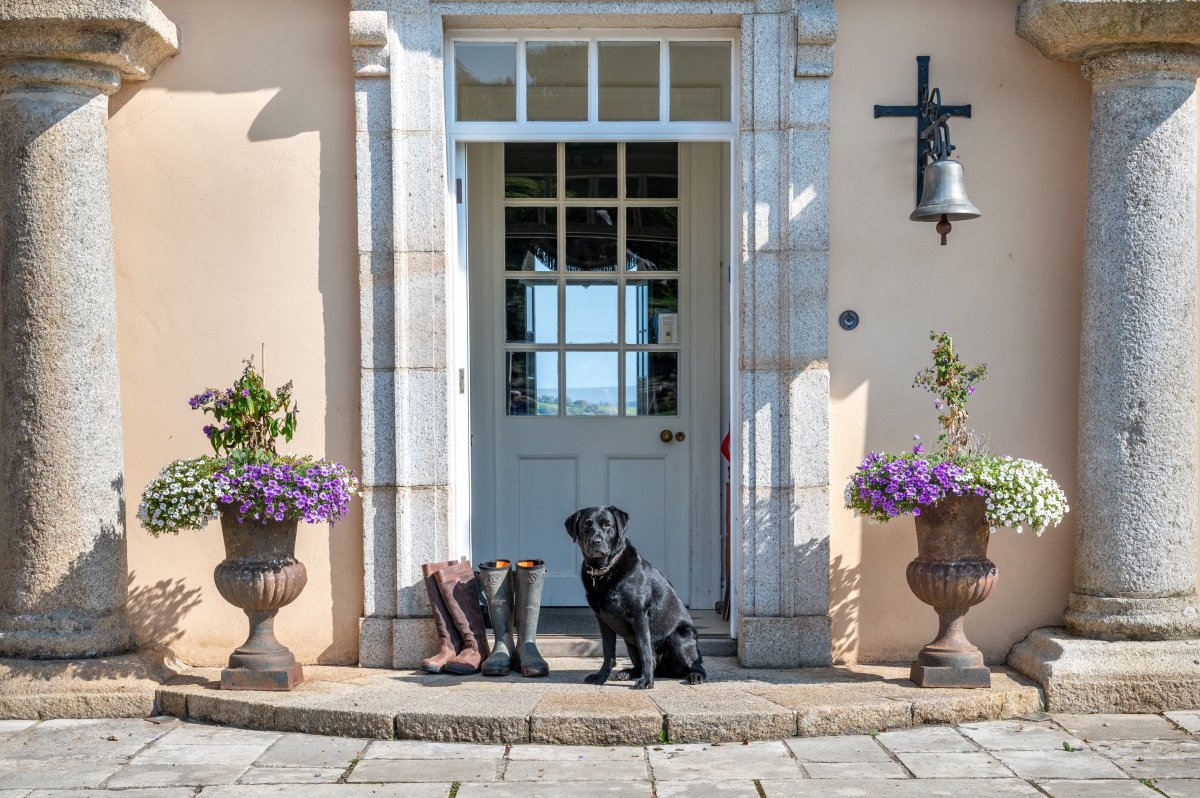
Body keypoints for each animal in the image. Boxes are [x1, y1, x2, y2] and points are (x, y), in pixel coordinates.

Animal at [561, 506, 700, 686]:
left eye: (607, 525)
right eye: (586, 525)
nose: (596, 542)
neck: (604, 571)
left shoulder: (639, 616)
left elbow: (646, 651)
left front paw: (647, 681)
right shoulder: (603, 620)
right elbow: (608, 653)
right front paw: (601, 677)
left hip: (679, 637)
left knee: (695, 664)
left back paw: (695, 676)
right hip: (629, 641)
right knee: (641, 662)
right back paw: (628, 672)